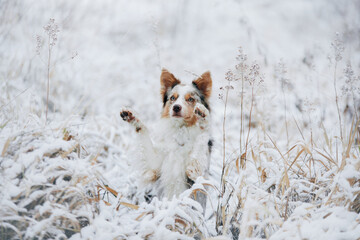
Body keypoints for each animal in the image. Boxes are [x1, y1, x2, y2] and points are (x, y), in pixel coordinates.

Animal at [119, 68, 212, 204]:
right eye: (173, 98)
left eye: (190, 99)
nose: (176, 107)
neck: (180, 131)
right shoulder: (153, 168)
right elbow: (143, 132)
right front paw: (132, 116)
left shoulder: (198, 175)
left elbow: (201, 141)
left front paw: (203, 117)